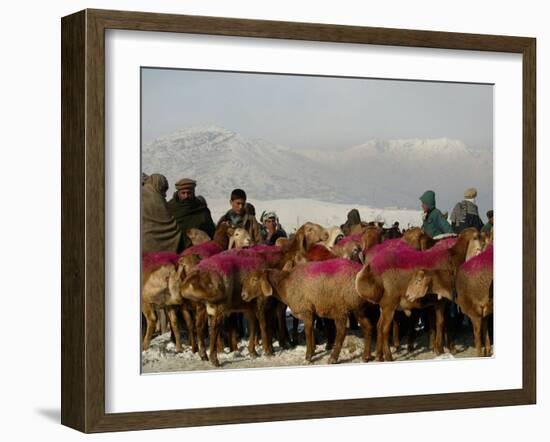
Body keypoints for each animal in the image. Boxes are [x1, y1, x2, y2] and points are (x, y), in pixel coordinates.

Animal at [242, 258, 376, 364]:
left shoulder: (306, 311)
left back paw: (333, 358)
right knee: (368, 327)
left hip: (340, 307)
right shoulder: (311, 313)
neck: (285, 285)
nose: (243, 295)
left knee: (341, 332)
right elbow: (311, 333)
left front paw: (308, 357)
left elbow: (307, 333)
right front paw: (312, 351)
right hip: (357, 307)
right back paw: (366, 356)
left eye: (254, 279)